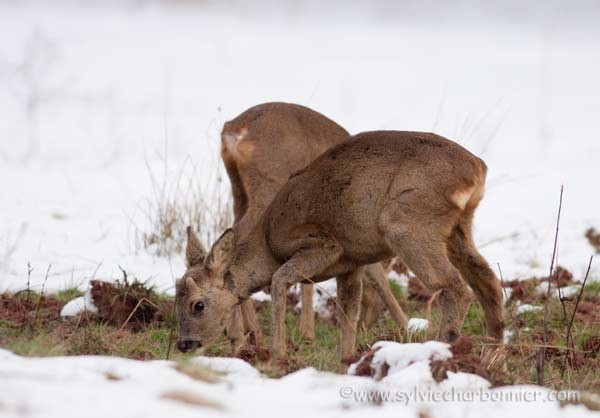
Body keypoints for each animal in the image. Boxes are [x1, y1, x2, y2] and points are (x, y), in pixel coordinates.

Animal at [175, 102, 408, 352]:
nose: (367, 325)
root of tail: (237, 129)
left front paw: (307, 332)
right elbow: (377, 274)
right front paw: (409, 327)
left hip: (238, 189)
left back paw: (244, 334)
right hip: (269, 182)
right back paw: (244, 335)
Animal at [177, 129, 502, 360]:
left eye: (198, 304)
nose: (183, 344)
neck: (267, 243)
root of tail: (478, 168)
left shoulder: (323, 244)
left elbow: (280, 280)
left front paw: (278, 355)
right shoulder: (352, 264)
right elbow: (349, 311)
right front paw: (346, 358)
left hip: (407, 223)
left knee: (455, 287)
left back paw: (444, 345)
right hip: (459, 227)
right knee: (487, 281)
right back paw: (493, 352)